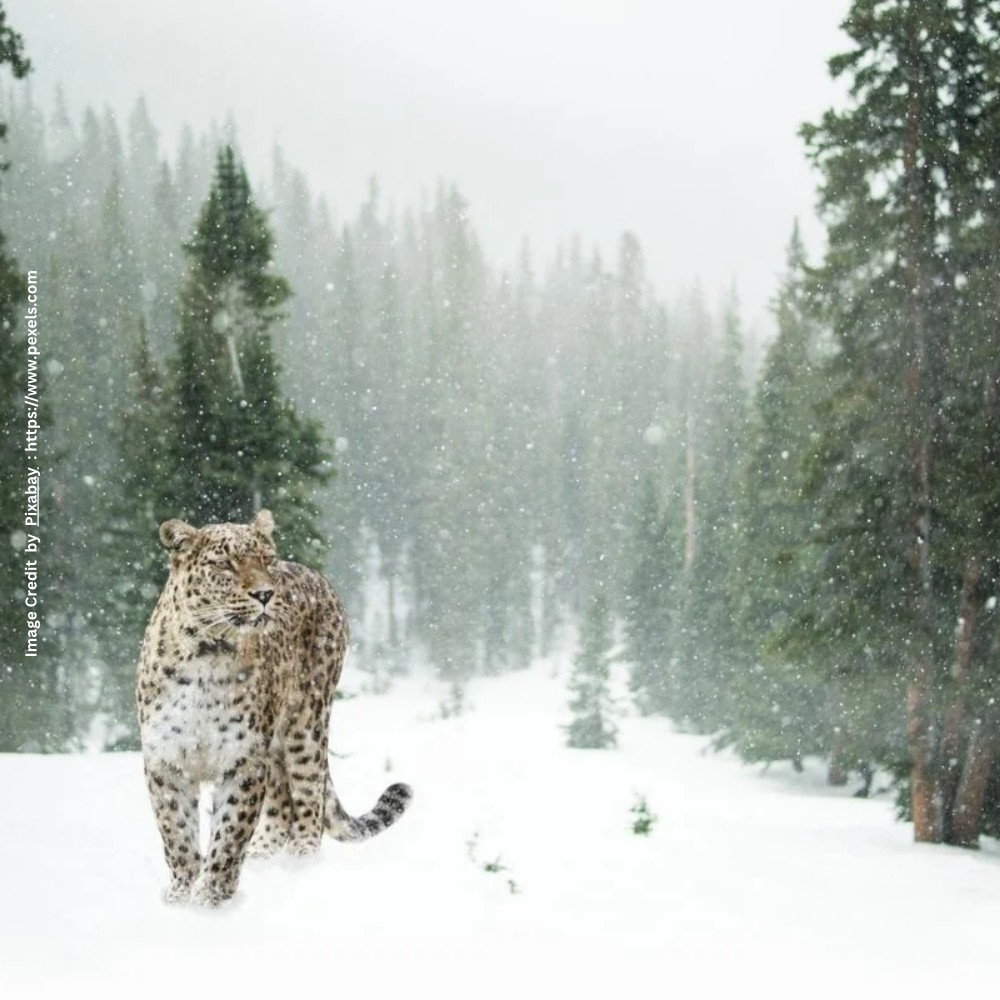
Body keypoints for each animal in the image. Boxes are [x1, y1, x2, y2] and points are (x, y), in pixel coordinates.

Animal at [136, 508, 412, 906]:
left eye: (266, 560)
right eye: (226, 564)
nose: (265, 594)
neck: (207, 654)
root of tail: (317, 575)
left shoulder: (244, 758)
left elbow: (230, 832)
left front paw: (211, 898)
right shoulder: (166, 758)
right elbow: (176, 832)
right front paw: (181, 894)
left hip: (306, 725)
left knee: (308, 797)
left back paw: (301, 864)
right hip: (278, 745)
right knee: (282, 803)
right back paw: (264, 856)